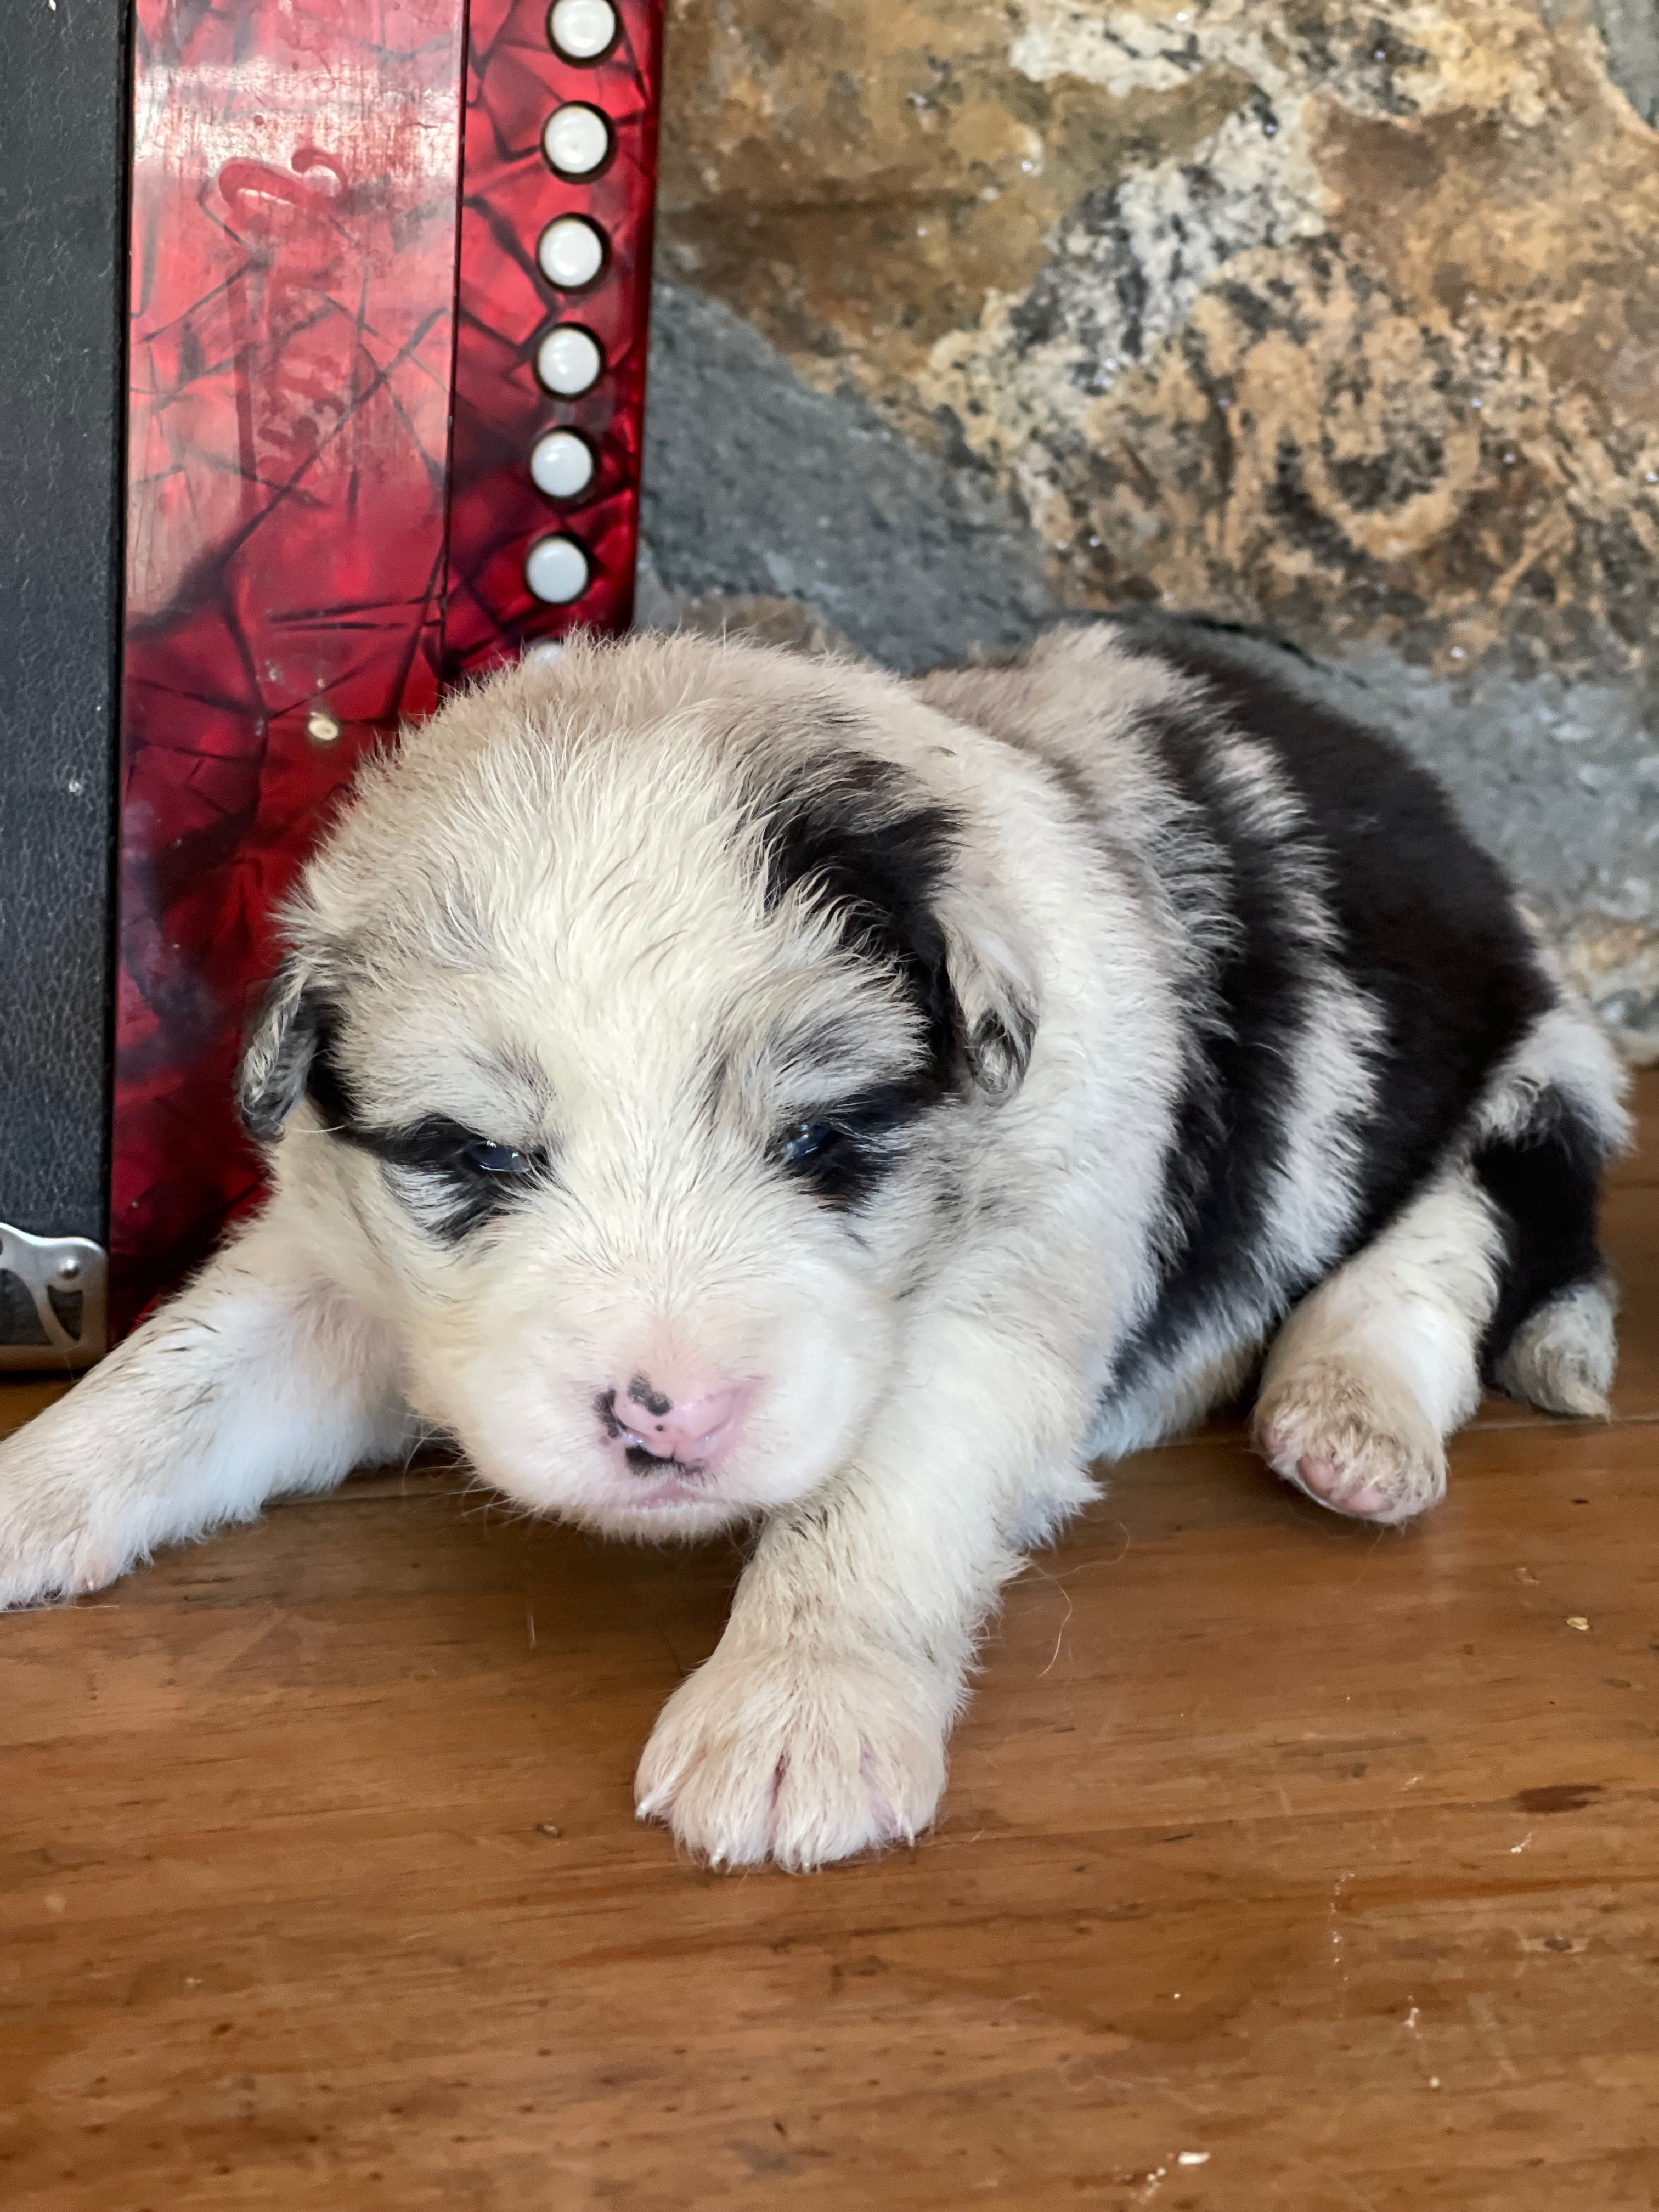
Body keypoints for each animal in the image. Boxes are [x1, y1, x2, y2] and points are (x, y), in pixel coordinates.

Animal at [0, 624, 1637, 1867]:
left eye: (820, 1140)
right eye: (478, 1157)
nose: (666, 1416)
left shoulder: (1017, 1282)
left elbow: (880, 1492)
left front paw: (793, 1719)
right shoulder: (337, 1253)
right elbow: (185, 1375)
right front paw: (31, 1487)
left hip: (1520, 1072)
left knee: (1461, 1234)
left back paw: (1348, 1420)